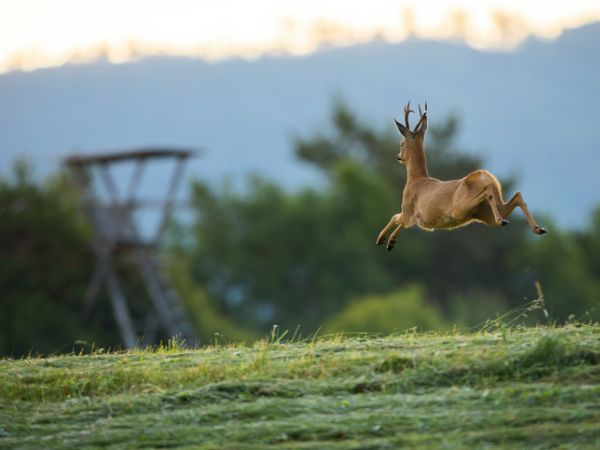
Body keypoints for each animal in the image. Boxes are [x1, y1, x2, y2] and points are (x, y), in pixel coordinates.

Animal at [378, 100, 548, 253]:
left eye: (401, 143)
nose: (398, 156)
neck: (415, 179)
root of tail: (485, 176)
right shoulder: (414, 218)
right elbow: (398, 220)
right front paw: (390, 242)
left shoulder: (408, 210)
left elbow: (395, 217)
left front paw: (383, 240)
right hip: (485, 213)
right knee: (516, 196)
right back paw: (537, 228)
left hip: (460, 207)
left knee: (487, 192)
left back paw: (504, 220)